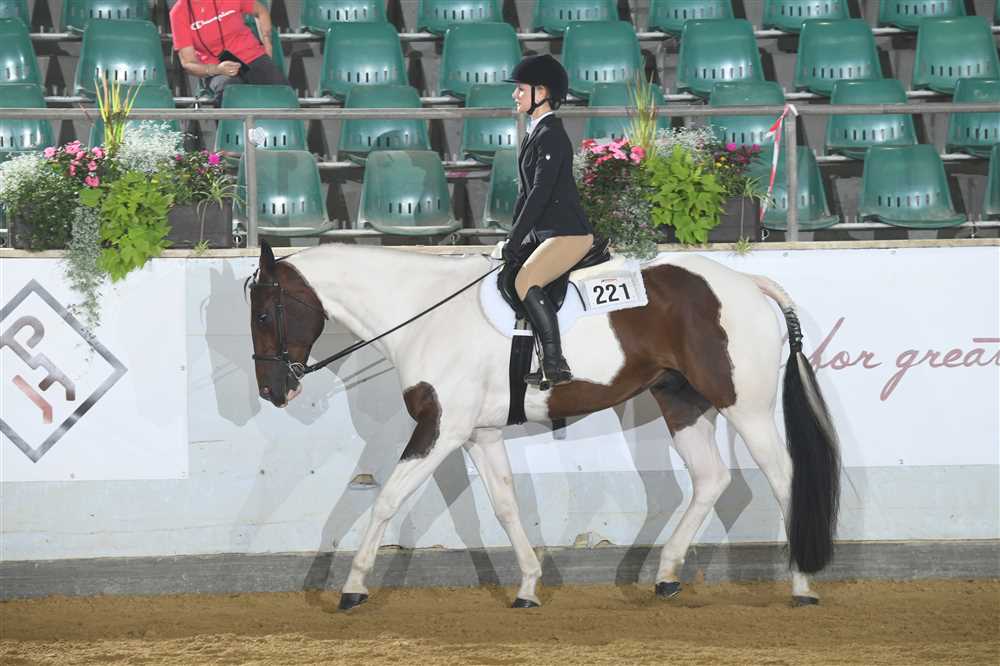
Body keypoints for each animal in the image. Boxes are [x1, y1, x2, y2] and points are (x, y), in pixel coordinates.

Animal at [247, 240, 840, 611]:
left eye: (264, 314)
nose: (273, 392)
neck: (425, 313)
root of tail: (748, 282)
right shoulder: (479, 435)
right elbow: (506, 506)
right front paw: (529, 587)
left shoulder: (441, 428)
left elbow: (388, 499)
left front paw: (352, 589)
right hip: (683, 402)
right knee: (711, 479)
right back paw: (667, 577)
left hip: (747, 407)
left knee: (785, 478)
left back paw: (802, 584)